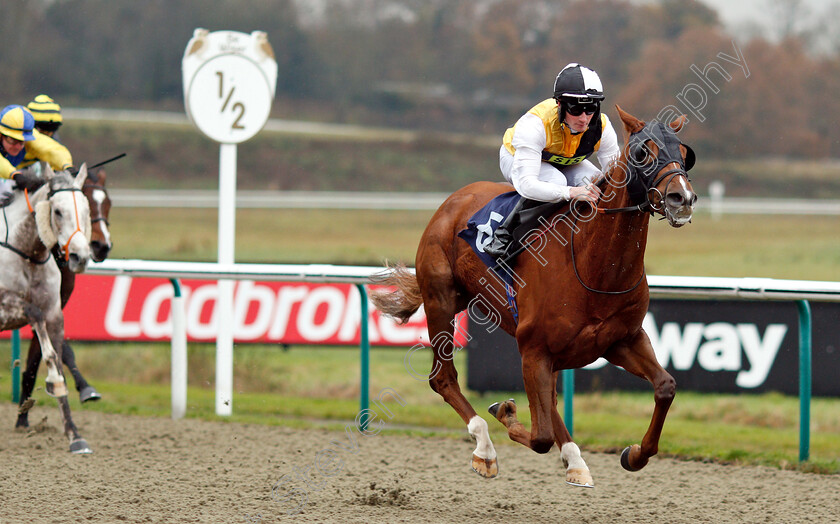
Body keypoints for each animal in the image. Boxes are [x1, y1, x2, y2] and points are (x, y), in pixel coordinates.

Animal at [372, 106, 696, 488]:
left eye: (684, 154)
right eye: (643, 153)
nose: (682, 199)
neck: (594, 265)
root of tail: (454, 200)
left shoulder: (621, 340)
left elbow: (665, 386)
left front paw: (634, 454)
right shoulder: (534, 348)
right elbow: (539, 435)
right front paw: (504, 411)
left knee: (549, 400)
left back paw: (574, 460)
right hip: (441, 300)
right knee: (443, 379)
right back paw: (485, 449)